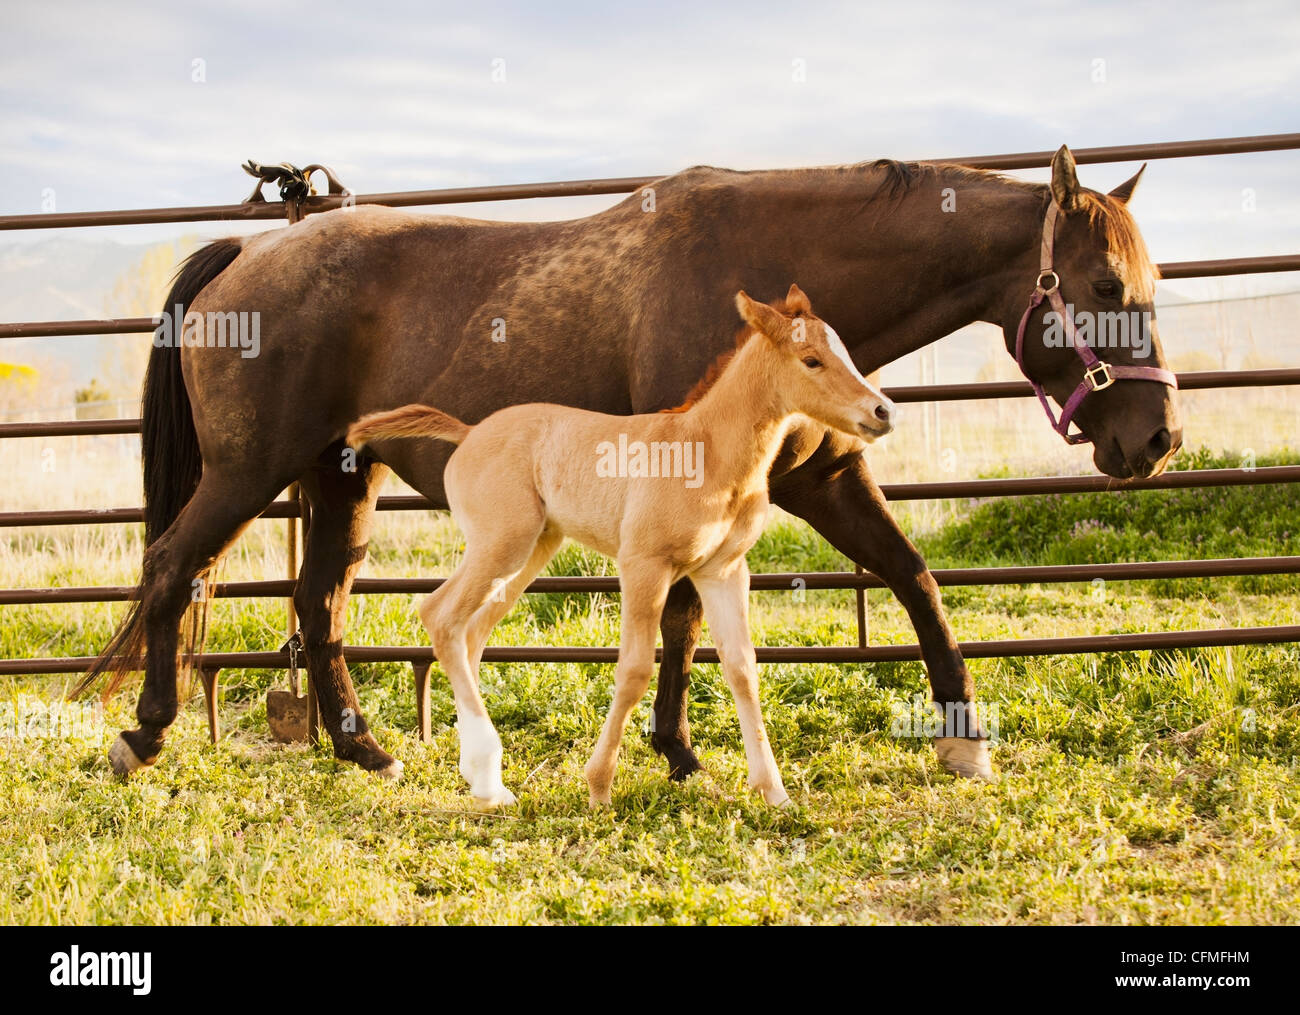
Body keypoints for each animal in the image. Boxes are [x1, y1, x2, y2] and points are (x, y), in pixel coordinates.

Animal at [345, 284, 894, 805]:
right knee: (440, 615)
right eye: (811, 360)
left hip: (531, 548)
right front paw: (599, 786)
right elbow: (633, 670)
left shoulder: (723, 570)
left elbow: (742, 668)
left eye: (845, 351)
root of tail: (469, 433)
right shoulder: (643, 564)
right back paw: (487, 774)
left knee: (469, 629)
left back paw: (486, 781)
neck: (708, 452)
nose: (882, 411)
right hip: (502, 542)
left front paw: (774, 793)